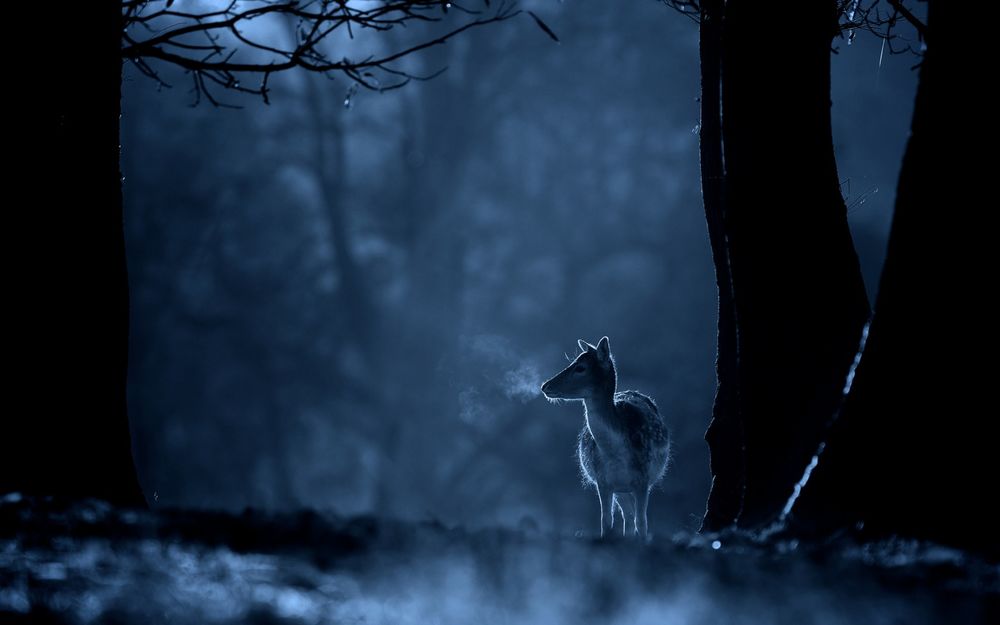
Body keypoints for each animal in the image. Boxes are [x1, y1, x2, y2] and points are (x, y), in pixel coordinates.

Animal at [541, 337, 670, 539]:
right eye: (573, 362)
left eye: (581, 367)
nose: (545, 386)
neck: (616, 453)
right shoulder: (603, 481)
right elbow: (606, 521)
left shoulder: (643, 479)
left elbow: (642, 523)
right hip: (620, 490)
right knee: (627, 516)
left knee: (633, 517)